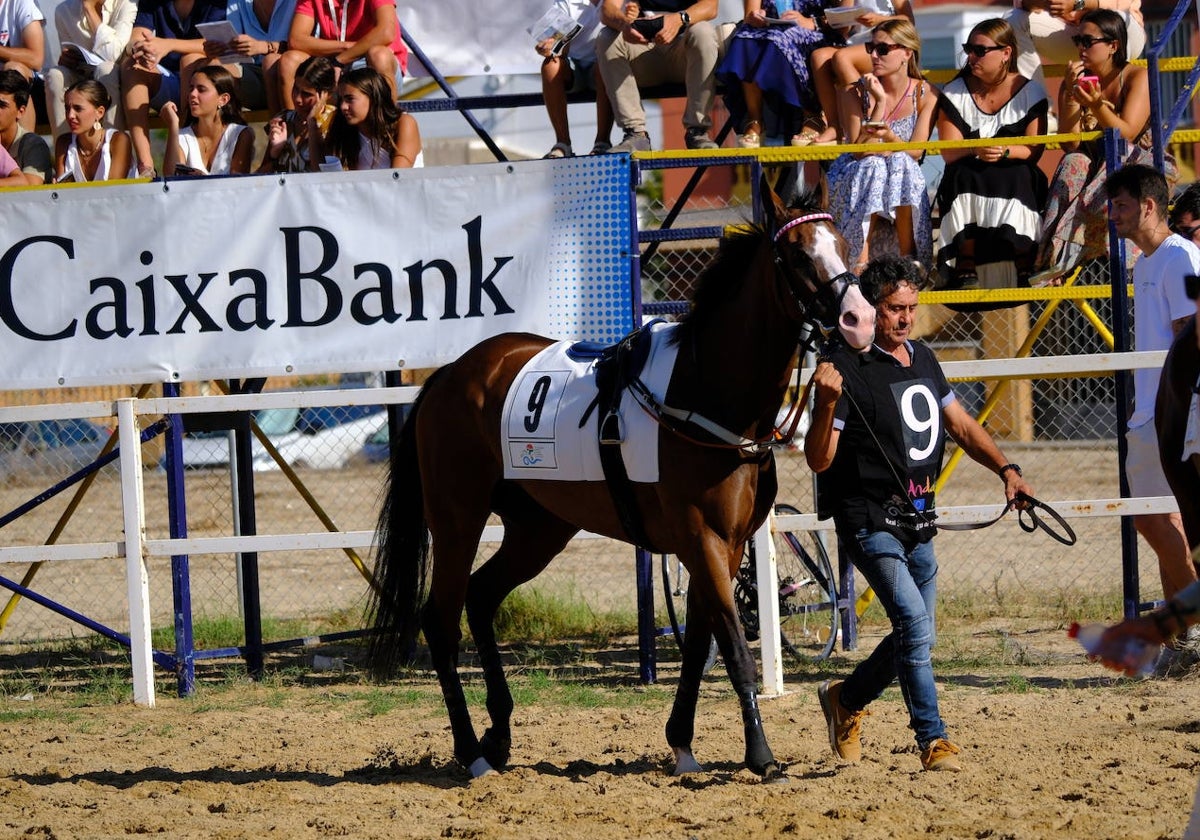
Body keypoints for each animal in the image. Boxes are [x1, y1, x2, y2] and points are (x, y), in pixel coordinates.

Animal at [360, 177, 878, 782]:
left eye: (842, 244)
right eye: (797, 255)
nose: (859, 319)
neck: (705, 391)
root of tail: (448, 375)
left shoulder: (724, 547)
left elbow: (700, 646)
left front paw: (682, 745)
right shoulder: (702, 540)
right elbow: (734, 648)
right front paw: (760, 755)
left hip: (538, 529)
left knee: (482, 597)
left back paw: (500, 734)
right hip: (457, 521)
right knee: (441, 622)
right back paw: (472, 754)